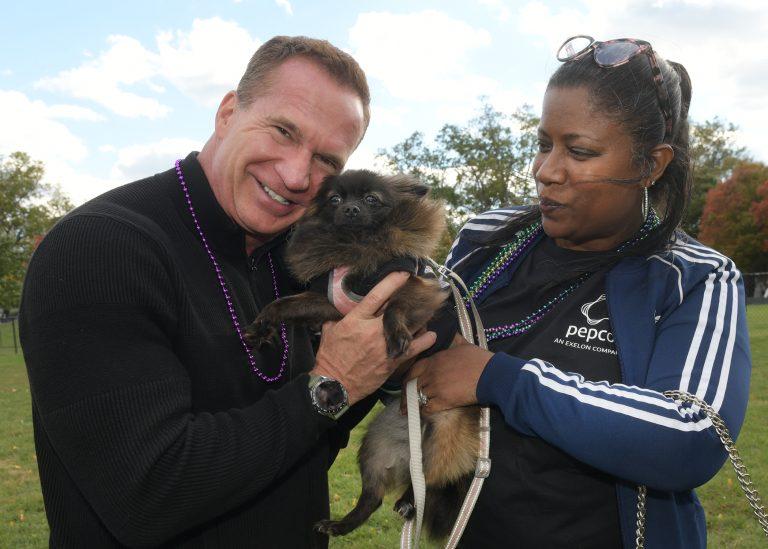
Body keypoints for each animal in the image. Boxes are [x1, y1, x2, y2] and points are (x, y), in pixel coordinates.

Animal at [246, 171, 476, 540]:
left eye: (371, 200)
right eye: (335, 199)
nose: (352, 209)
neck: (355, 248)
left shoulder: (414, 287)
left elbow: (395, 307)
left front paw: (396, 334)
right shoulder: (329, 303)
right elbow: (284, 303)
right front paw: (261, 325)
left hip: (442, 439)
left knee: (430, 482)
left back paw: (407, 501)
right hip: (374, 447)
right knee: (374, 498)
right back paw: (342, 524)